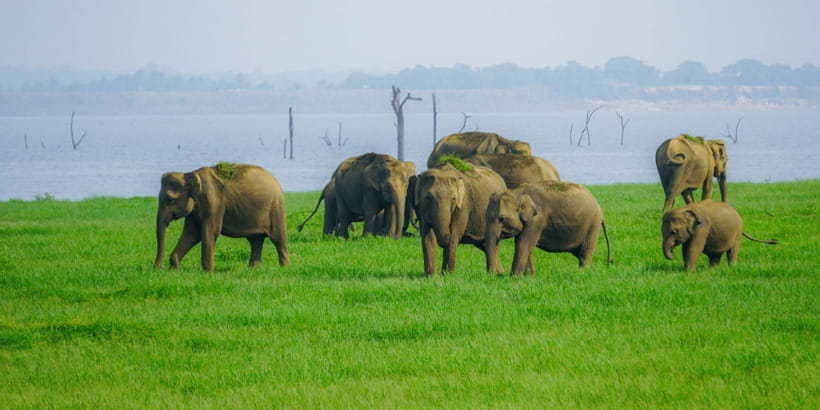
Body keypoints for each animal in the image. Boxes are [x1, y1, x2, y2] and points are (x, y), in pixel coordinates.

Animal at [154, 163, 290, 271]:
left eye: (170, 199)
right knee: (255, 240)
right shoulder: (196, 208)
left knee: (278, 239)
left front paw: (208, 272)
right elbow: (192, 234)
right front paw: (175, 269)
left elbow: (210, 232)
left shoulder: (214, 200)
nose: (160, 268)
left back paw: (285, 268)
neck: (190, 174)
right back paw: (253, 269)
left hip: (276, 207)